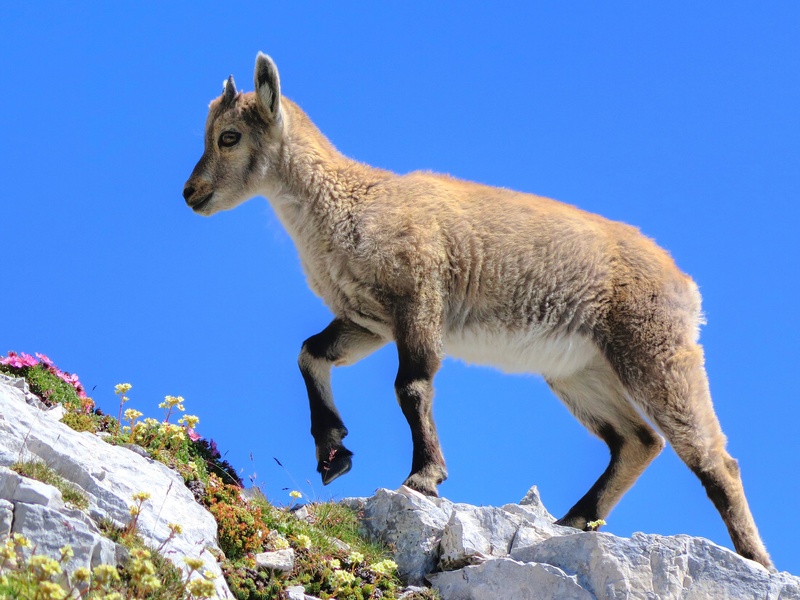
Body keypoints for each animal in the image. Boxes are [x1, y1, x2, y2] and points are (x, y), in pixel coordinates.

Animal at [183, 53, 772, 569]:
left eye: (229, 137)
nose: (192, 192)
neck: (349, 205)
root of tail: (685, 286)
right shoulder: (368, 321)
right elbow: (310, 353)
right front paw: (333, 453)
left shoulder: (419, 301)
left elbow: (411, 386)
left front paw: (424, 476)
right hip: (579, 371)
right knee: (638, 440)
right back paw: (575, 519)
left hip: (654, 350)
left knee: (713, 457)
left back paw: (754, 559)